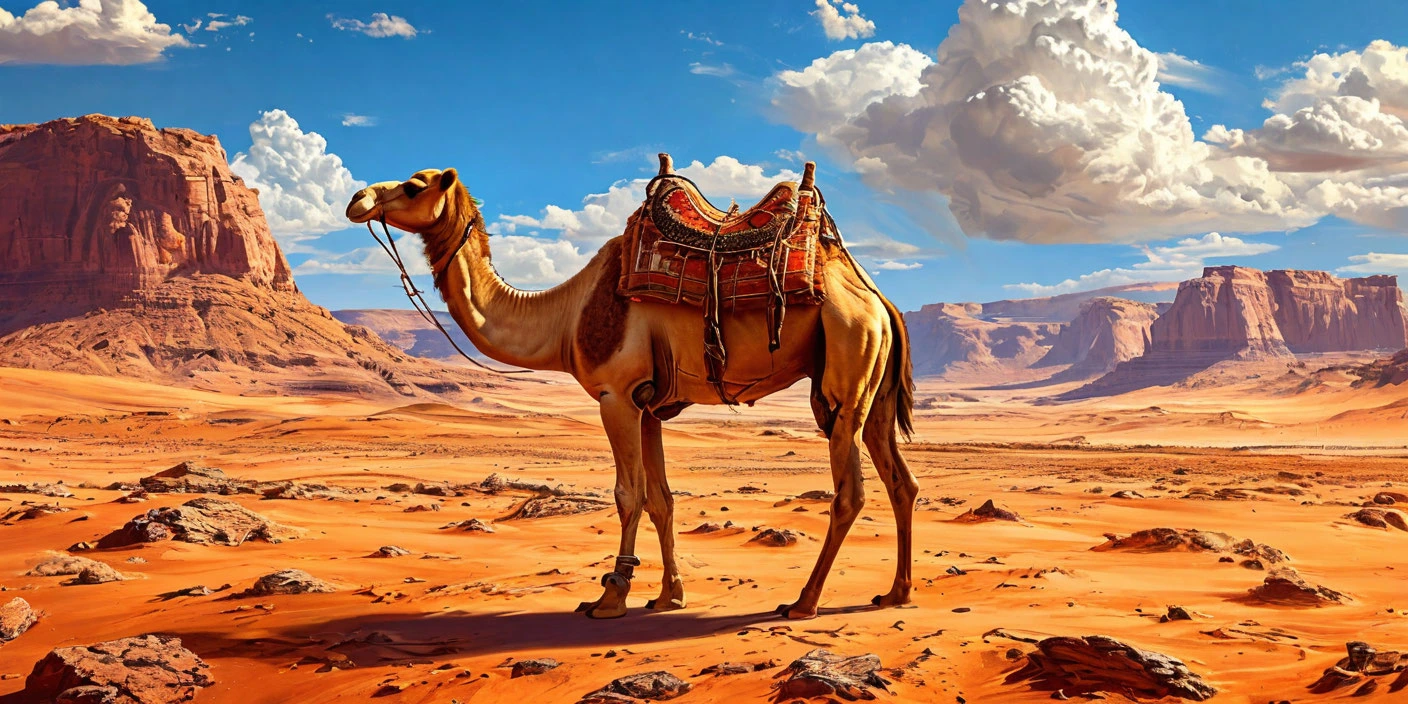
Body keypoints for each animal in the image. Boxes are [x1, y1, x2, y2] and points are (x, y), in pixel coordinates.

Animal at [344, 160, 917, 620]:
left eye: (413, 186)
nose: (357, 199)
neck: (566, 315)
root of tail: (879, 299)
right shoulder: (651, 406)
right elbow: (662, 499)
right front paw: (668, 596)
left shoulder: (616, 396)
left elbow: (627, 495)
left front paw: (610, 596)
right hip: (875, 385)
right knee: (900, 481)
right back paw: (895, 593)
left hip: (845, 369)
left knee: (849, 491)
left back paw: (803, 601)